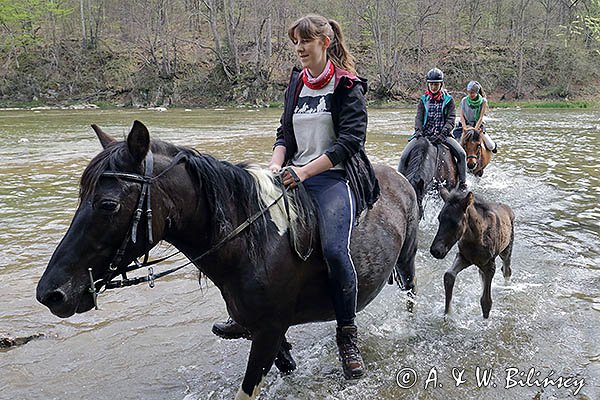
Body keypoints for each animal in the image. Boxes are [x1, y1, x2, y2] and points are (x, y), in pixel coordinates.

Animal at [428, 187, 512, 318]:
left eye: (455, 223)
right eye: (439, 219)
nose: (436, 250)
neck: (475, 239)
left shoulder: (490, 265)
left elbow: (486, 302)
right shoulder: (464, 257)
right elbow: (449, 275)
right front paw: (448, 314)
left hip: (506, 250)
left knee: (506, 270)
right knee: (483, 273)